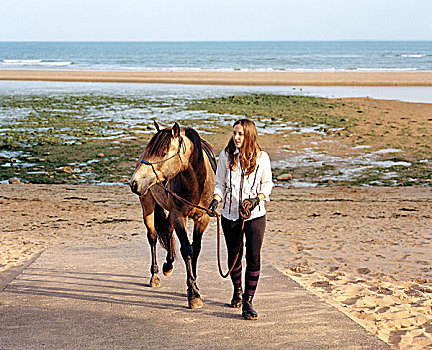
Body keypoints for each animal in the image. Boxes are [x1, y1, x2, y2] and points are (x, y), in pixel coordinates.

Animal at [128, 121, 216, 308]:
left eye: (162, 152)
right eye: (150, 150)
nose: (134, 182)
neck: (195, 184)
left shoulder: (202, 219)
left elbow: (195, 249)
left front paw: (195, 284)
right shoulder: (179, 216)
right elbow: (187, 249)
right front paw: (193, 293)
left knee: (168, 231)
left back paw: (168, 265)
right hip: (148, 205)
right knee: (153, 237)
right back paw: (155, 275)